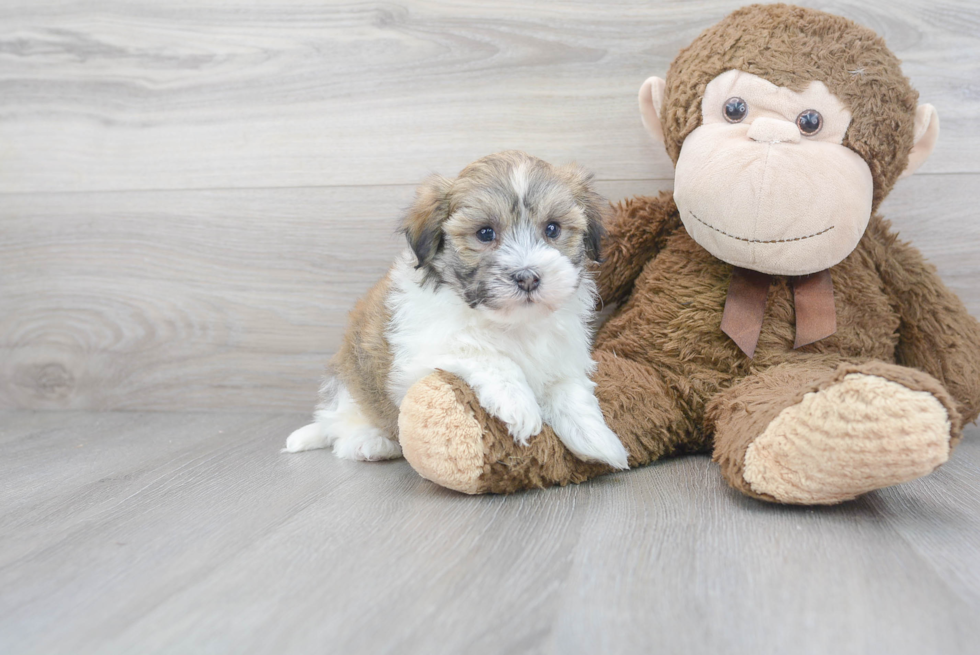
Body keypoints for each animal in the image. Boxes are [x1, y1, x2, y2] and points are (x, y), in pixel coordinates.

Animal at [288, 151, 632, 472]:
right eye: (485, 233)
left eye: (552, 229)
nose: (527, 277)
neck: (512, 324)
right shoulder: (420, 355)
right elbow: (484, 354)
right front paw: (518, 404)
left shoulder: (563, 357)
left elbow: (569, 391)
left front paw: (596, 438)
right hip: (351, 386)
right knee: (342, 429)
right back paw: (370, 443)